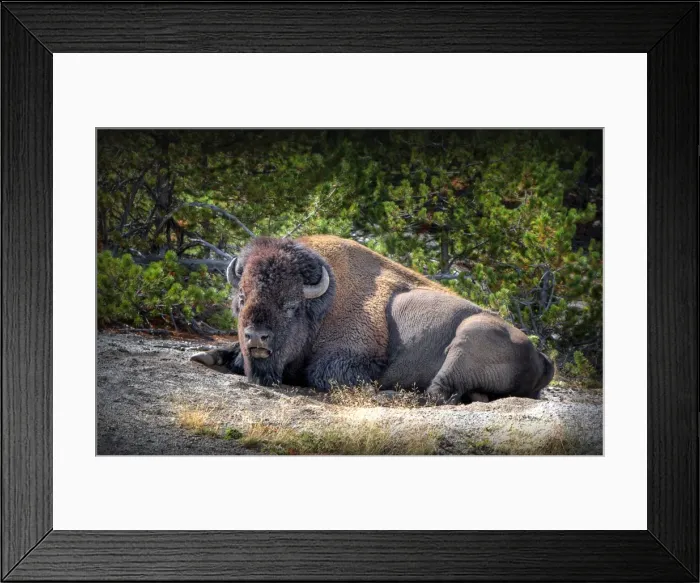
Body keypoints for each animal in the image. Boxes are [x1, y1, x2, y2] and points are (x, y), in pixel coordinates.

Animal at [192, 235, 554, 404]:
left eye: (291, 305)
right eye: (241, 299)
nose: (256, 337)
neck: (325, 304)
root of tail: (542, 357)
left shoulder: (351, 358)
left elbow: (321, 373)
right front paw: (208, 356)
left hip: (469, 337)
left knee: (438, 392)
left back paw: (390, 394)